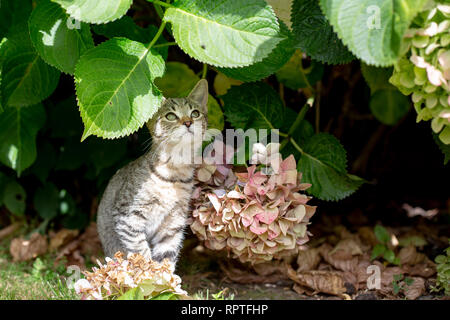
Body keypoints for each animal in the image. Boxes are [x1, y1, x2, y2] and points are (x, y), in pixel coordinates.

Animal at [97, 79, 209, 264]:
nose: (188, 122)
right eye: (171, 116)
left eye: (195, 113)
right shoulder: (128, 217)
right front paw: (147, 270)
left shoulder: (173, 223)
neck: (174, 172)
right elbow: (141, 253)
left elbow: (166, 259)